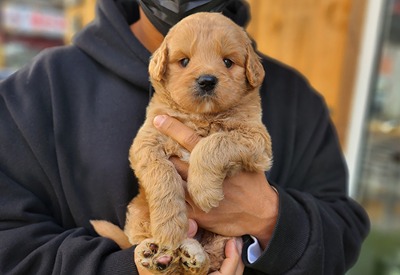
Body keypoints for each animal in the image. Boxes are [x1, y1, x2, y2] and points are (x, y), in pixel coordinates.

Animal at [91, 12, 272, 275]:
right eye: (184, 61)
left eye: (228, 62)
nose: (207, 81)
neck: (200, 116)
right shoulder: (147, 141)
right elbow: (162, 174)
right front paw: (169, 228)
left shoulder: (257, 140)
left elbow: (215, 141)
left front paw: (203, 189)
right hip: (137, 213)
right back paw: (156, 255)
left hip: (226, 237)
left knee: (205, 263)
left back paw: (190, 255)